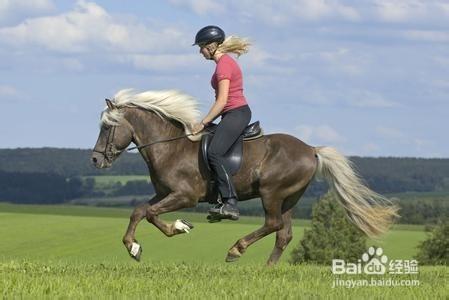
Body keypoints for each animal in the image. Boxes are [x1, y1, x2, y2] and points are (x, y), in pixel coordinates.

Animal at [90, 89, 396, 264]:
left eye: (107, 127)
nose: (94, 159)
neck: (170, 146)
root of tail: (311, 149)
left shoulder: (185, 196)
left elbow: (150, 213)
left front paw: (176, 228)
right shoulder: (164, 193)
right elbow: (140, 210)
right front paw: (134, 247)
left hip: (272, 192)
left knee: (273, 224)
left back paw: (236, 250)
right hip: (290, 198)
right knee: (283, 234)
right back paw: (266, 270)